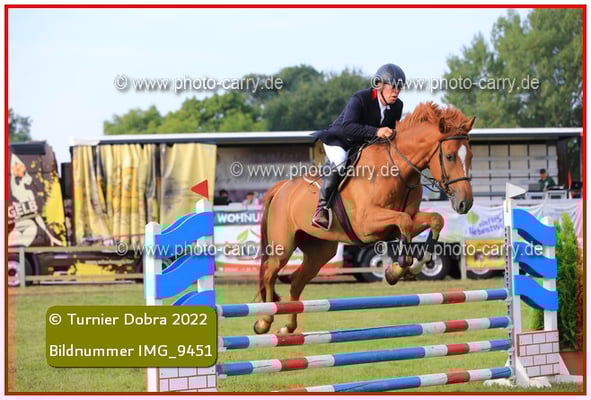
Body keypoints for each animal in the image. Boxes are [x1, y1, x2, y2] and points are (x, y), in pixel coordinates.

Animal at [255, 102, 475, 335]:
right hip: (283, 246)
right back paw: (264, 321)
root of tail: (282, 188)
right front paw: (396, 270)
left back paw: (288, 328)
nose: (465, 203)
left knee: (297, 281)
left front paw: (414, 266)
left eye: (470, 155)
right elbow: (404, 221)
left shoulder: (403, 221)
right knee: (270, 274)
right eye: (449, 156)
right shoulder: (366, 224)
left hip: (320, 251)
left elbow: (434, 219)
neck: (399, 170)